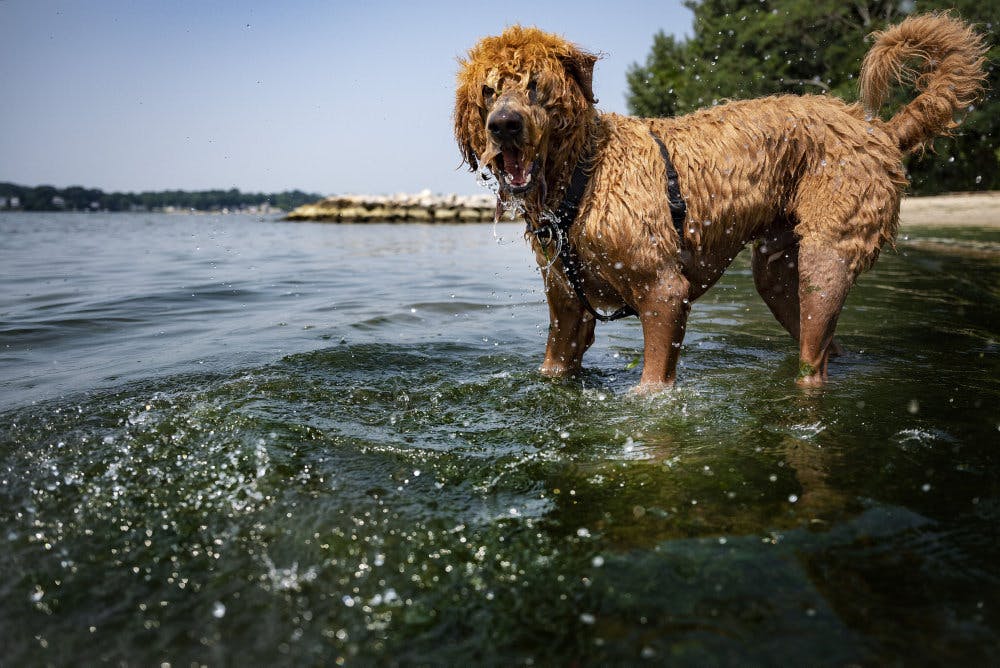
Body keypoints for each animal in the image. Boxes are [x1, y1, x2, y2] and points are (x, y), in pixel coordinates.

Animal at [454, 13, 984, 388]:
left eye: (535, 86)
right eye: (488, 91)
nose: (504, 126)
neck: (585, 175)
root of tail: (878, 130)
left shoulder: (663, 291)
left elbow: (652, 384)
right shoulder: (569, 307)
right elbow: (556, 364)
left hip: (827, 255)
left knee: (814, 358)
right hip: (777, 270)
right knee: (823, 340)